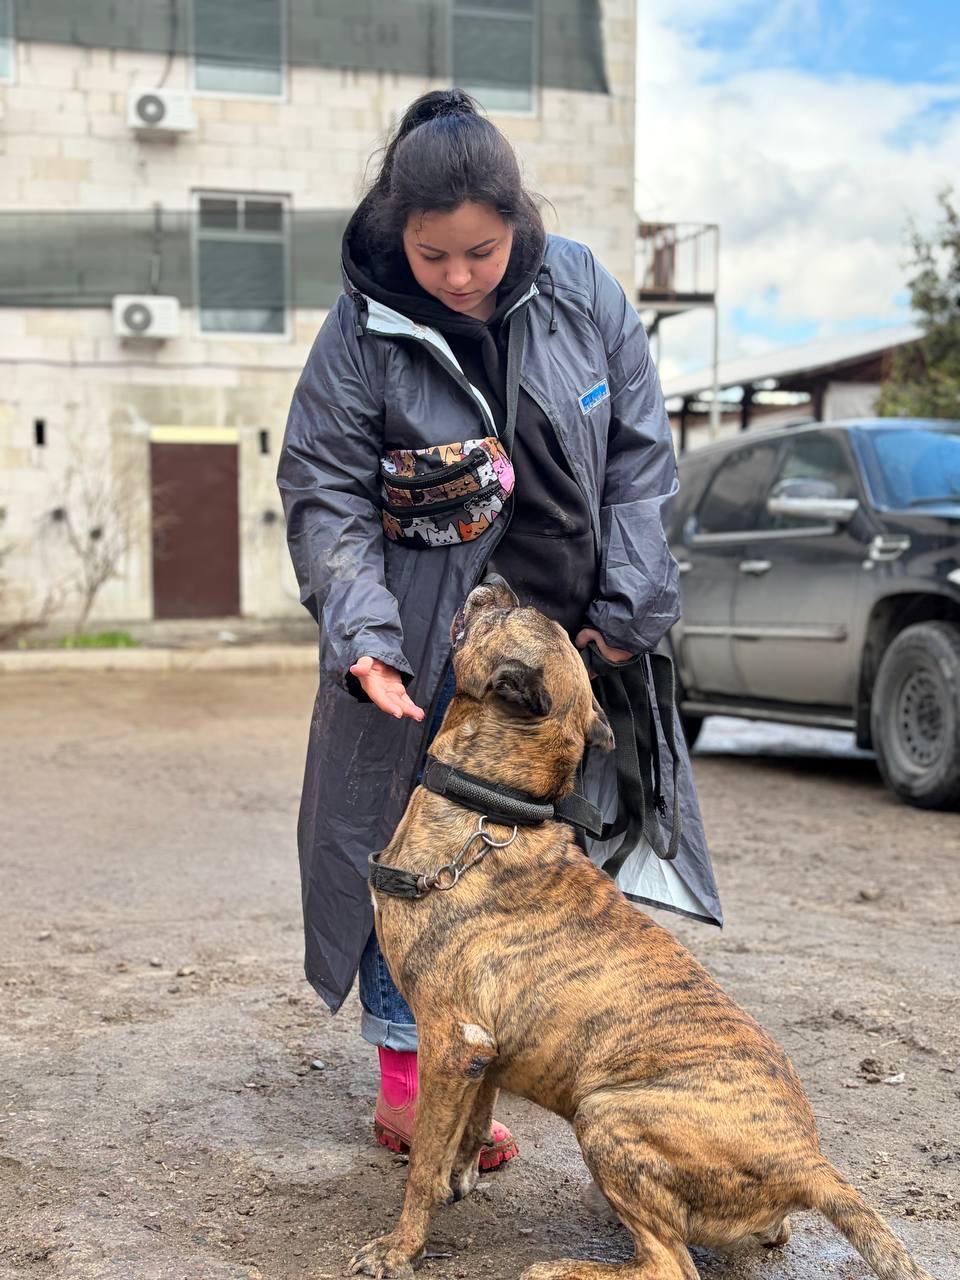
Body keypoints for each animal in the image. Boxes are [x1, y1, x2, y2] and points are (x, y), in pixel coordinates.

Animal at [351, 576, 934, 1280]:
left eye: (515, 613)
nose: (499, 581)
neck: (491, 811)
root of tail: (806, 1162)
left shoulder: (449, 1041)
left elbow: (423, 1167)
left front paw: (399, 1247)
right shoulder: (482, 1053)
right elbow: (468, 1127)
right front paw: (461, 1175)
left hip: (605, 1113)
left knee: (669, 1264)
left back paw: (564, 1269)